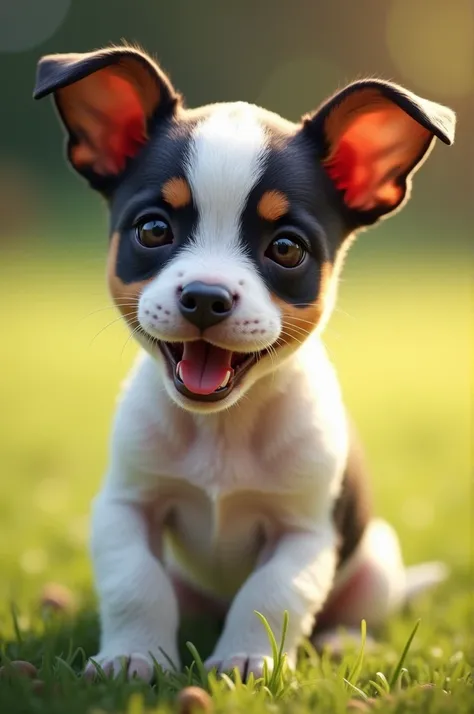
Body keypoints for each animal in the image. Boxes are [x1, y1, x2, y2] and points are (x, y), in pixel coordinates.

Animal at [33, 44, 456, 680]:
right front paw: (134, 656)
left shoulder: (304, 534)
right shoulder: (126, 507)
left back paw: (339, 643)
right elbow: (135, 584)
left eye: (286, 248)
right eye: (153, 229)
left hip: (377, 560)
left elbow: (273, 594)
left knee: (354, 613)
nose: (206, 296)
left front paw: (245, 660)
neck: (222, 428)